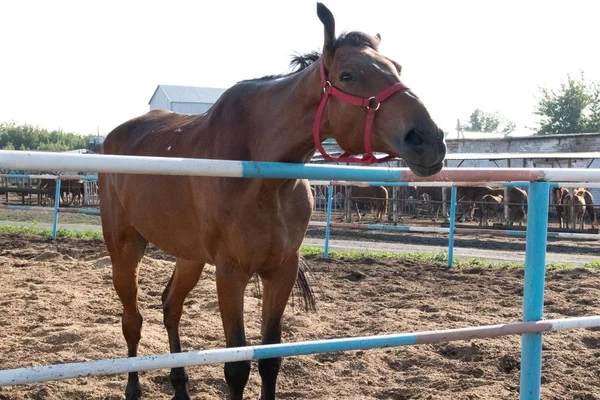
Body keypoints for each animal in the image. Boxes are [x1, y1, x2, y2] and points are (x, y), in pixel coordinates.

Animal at [98, 3, 446, 400]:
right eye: (347, 75)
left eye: (397, 67)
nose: (428, 140)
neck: (264, 178)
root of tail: (113, 138)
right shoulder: (231, 273)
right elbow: (236, 366)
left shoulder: (280, 271)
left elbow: (270, 359)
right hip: (126, 248)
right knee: (132, 320)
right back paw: (133, 388)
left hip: (189, 256)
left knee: (171, 306)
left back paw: (181, 387)